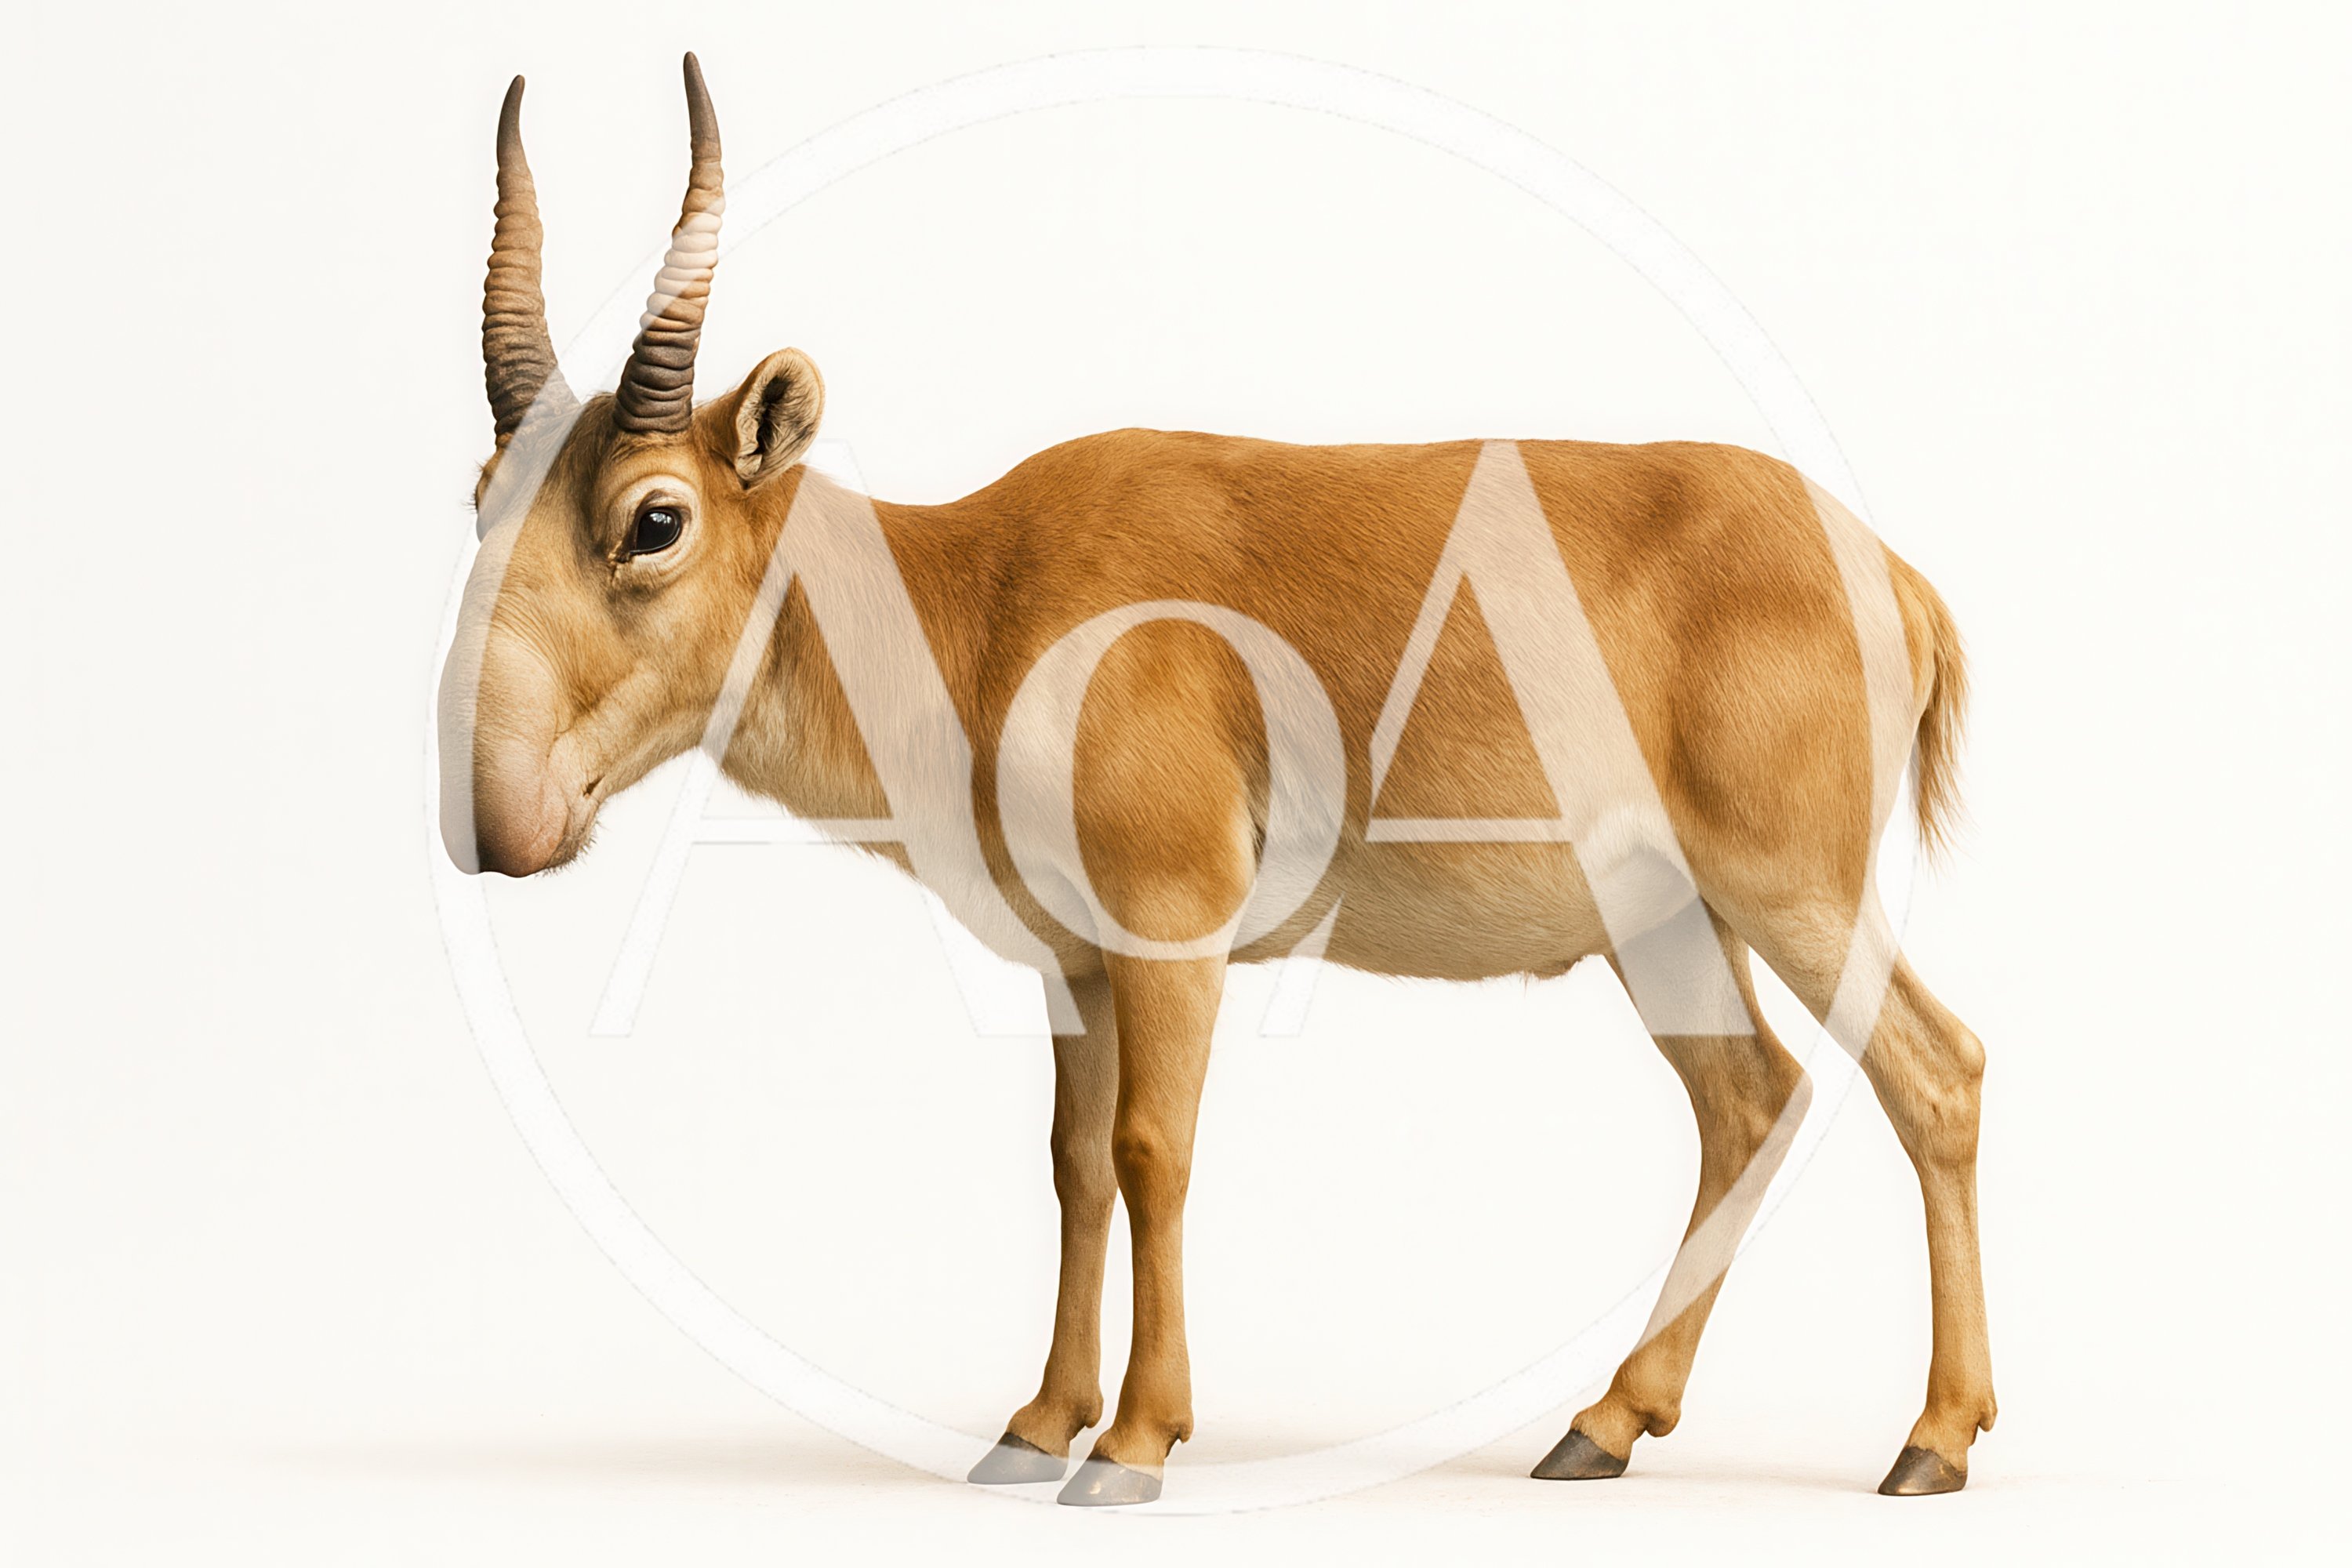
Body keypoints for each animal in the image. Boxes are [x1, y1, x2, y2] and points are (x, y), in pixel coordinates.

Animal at [439, 55, 1994, 1505]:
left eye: (655, 519)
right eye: (483, 499)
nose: (498, 818)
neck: (986, 590)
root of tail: (1897, 578)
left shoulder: (1173, 929)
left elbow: (1152, 1151)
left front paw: (1132, 1446)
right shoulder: (1076, 962)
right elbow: (1072, 1163)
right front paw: (1033, 1429)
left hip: (1791, 891)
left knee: (1935, 1072)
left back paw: (1928, 1445)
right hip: (1664, 921)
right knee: (1749, 1099)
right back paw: (1602, 1429)